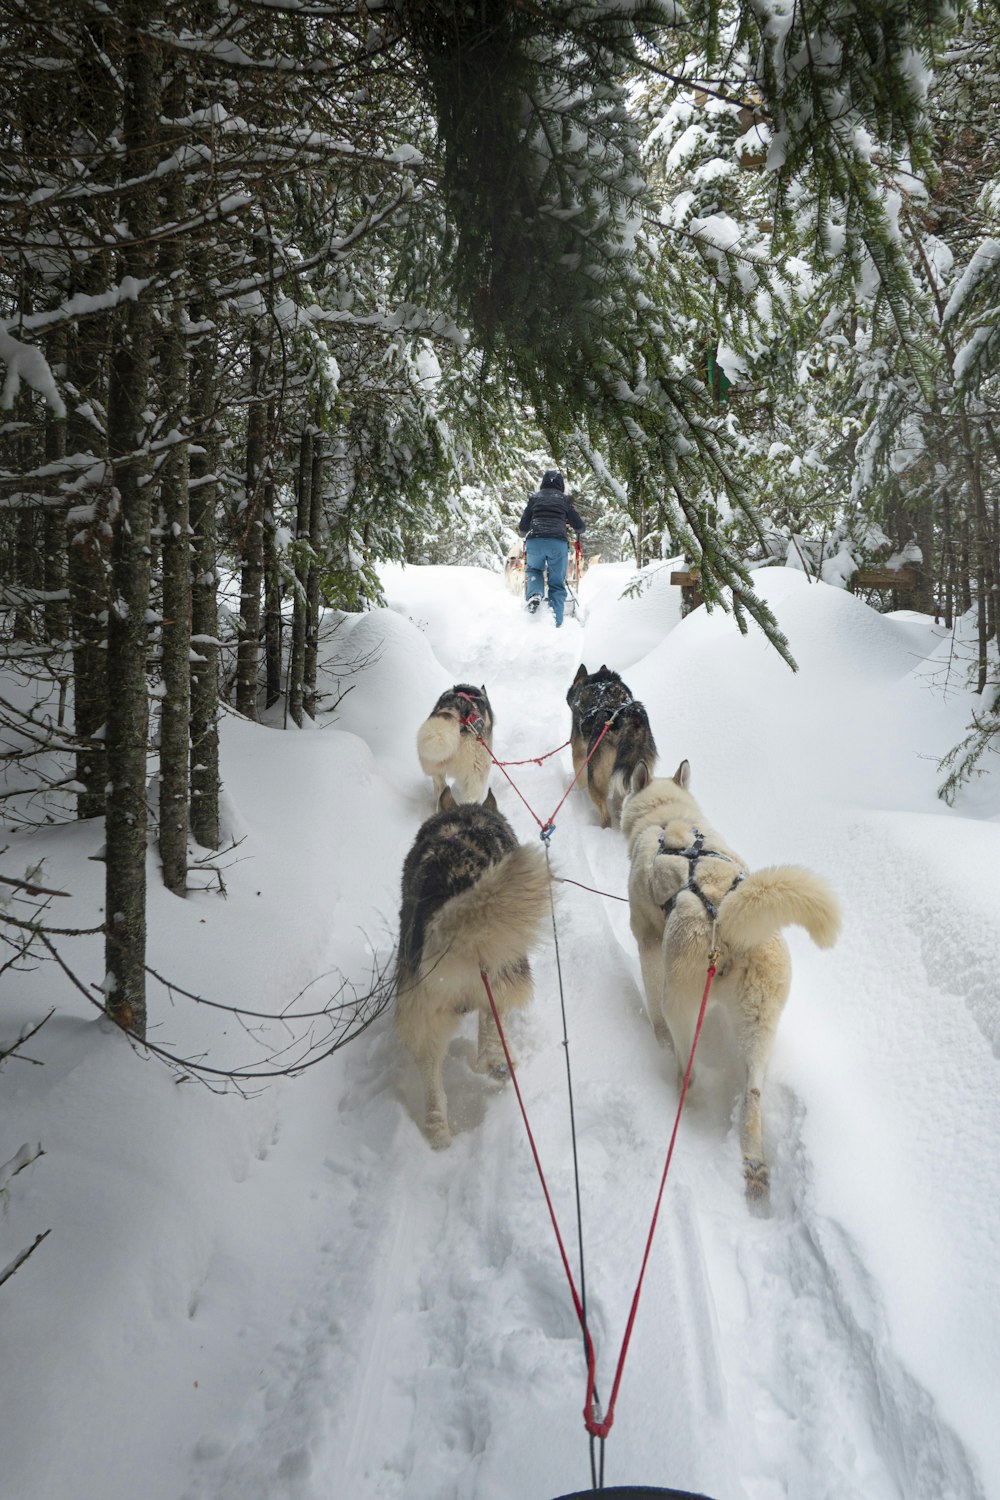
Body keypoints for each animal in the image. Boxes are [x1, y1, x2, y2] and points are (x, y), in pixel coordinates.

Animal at [392, 786, 548, 1146]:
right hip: (504, 969)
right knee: (490, 1027)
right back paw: (499, 1062)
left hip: (423, 1002)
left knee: (431, 1069)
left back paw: (438, 1129)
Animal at [569, 663, 656, 834]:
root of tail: (627, 715)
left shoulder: (579, 751)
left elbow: (579, 777)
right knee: (618, 805)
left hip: (596, 778)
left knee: (605, 815)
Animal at [620, 762, 839, 1206]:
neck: (668, 818)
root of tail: (730, 917)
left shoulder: (647, 942)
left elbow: (652, 1008)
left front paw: (656, 1037)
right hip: (760, 1022)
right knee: (753, 1094)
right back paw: (754, 1165)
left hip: (681, 1001)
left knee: (687, 1065)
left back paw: (684, 1101)